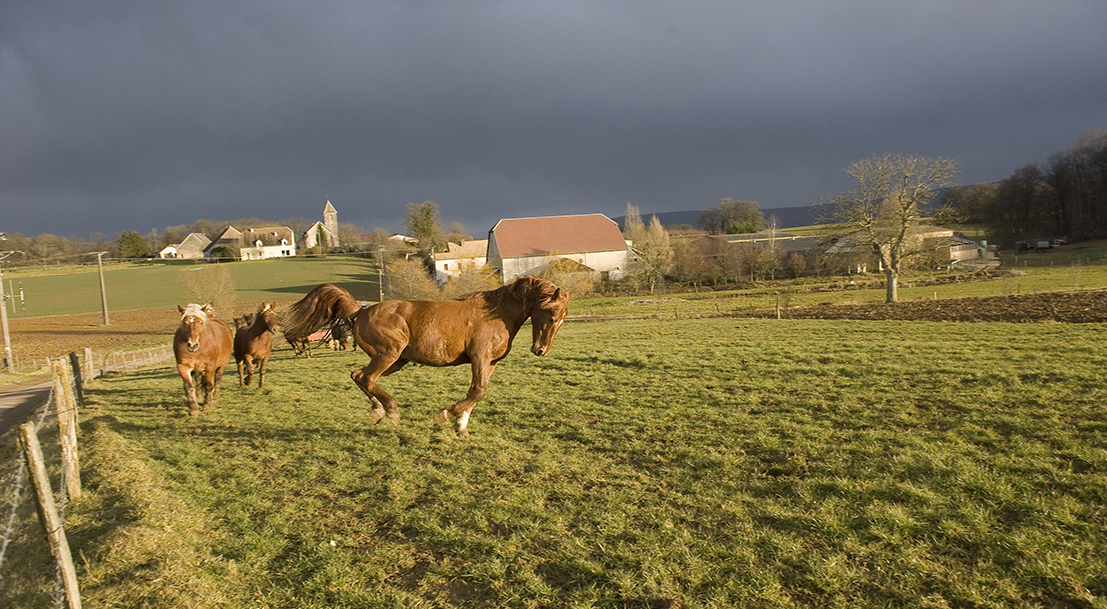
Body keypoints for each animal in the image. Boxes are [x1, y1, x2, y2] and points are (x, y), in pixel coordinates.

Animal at [281, 276, 571, 438]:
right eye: (552, 316)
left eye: (562, 320)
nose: (540, 350)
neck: (498, 313)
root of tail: (359, 312)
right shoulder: (479, 356)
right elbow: (478, 391)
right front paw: (444, 416)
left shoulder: (491, 363)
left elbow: (476, 394)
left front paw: (461, 427)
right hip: (389, 354)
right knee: (366, 378)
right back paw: (390, 411)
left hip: (396, 360)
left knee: (358, 375)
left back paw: (377, 411)